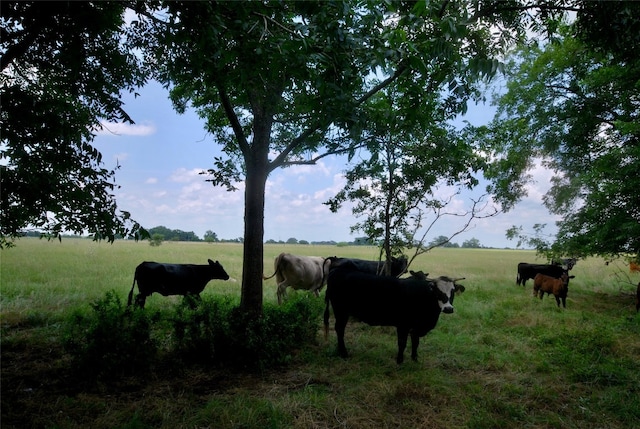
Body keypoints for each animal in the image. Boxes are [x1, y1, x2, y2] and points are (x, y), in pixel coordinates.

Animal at [324, 260, 464, 364]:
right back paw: (343, 353)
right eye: (437, 292)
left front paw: (415, 359)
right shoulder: (403, 325)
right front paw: (399, 360)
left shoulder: (416, 328)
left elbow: (415, 342)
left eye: (452, 292)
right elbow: (402, 343)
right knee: (339, 329)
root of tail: (338, 270)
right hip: (340, 310)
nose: (448, 308)